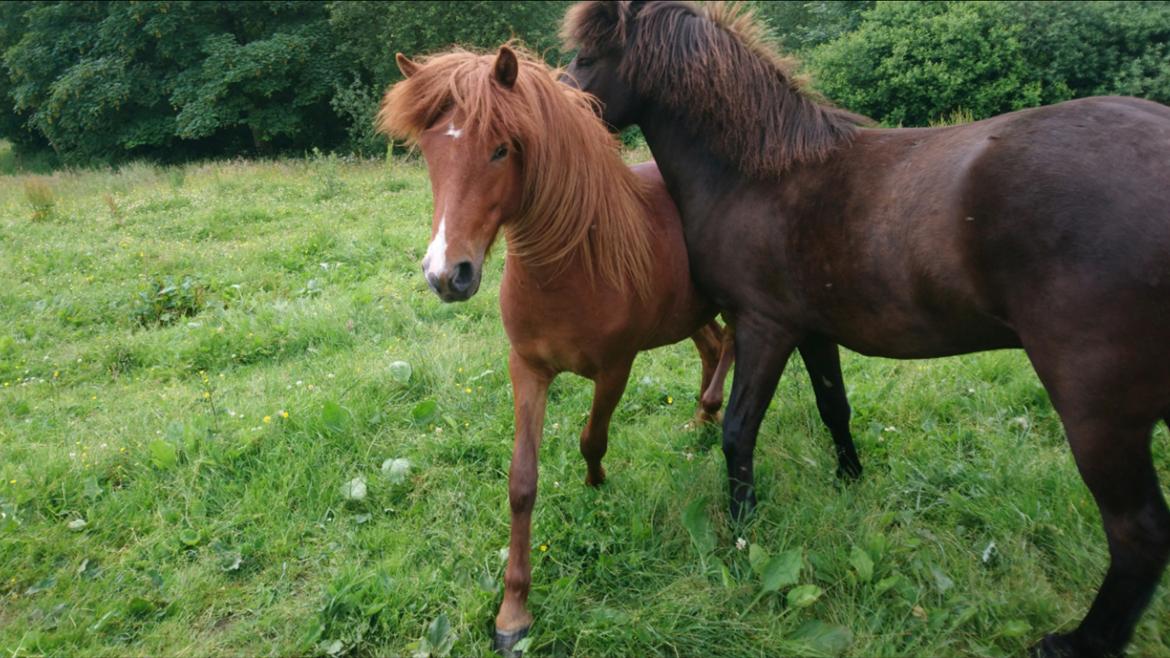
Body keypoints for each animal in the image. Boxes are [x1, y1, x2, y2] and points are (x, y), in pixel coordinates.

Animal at [379, 44, 865, 650]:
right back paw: (702, 416)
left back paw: (708, 410)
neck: (570, 261)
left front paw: (595, 484)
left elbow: (593, 437)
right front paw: (513, 613)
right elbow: (521, 482)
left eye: (500, 149)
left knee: (727, 344)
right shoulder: (527, 369)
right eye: (428, 152)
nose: (447, 275)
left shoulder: (615, 368)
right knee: (712, 346)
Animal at [561, 1, 1165, 655]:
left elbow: (738, 432)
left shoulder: (764, 327)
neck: (756, 174)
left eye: (588, 58)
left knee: (1138, 532)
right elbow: (835, 408)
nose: (558, 102)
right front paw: (850, 481)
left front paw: (744, 534)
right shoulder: (813, 331)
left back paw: (1079, 642)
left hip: (1096, 408)